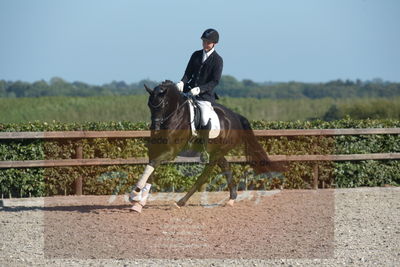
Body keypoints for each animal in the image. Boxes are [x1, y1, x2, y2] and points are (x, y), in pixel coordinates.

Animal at [128, 80, 284, 213]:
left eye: (163, 104)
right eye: (149, 105)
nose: (155, 128)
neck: (175, 116)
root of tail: (236, 117)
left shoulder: (171, 152)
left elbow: (153, 165)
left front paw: (134, 193)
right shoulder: (156, 150)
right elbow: (151, 168)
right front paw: (138, 202)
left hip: (216, 154)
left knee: (204, 176)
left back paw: (180, 202)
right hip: (217, 152)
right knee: (226, 167)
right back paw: (231, 199)